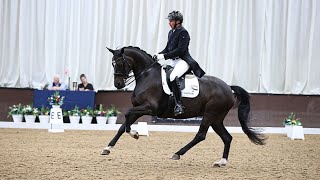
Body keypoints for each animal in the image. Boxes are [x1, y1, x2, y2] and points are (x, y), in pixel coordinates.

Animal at [100, 46, 264, 166]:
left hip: (210, 114)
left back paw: (177, 154)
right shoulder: (139, 108)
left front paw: (134, 133)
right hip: (217, 118)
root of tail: (228, 88)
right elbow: (122, 126)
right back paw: (221, 162)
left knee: (201, 135)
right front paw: (107, 148)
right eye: (112, 64)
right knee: (227, 137)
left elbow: (127, 113)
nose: (118, 84)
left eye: (119, 63)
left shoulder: (150, 108)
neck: (146, 75)